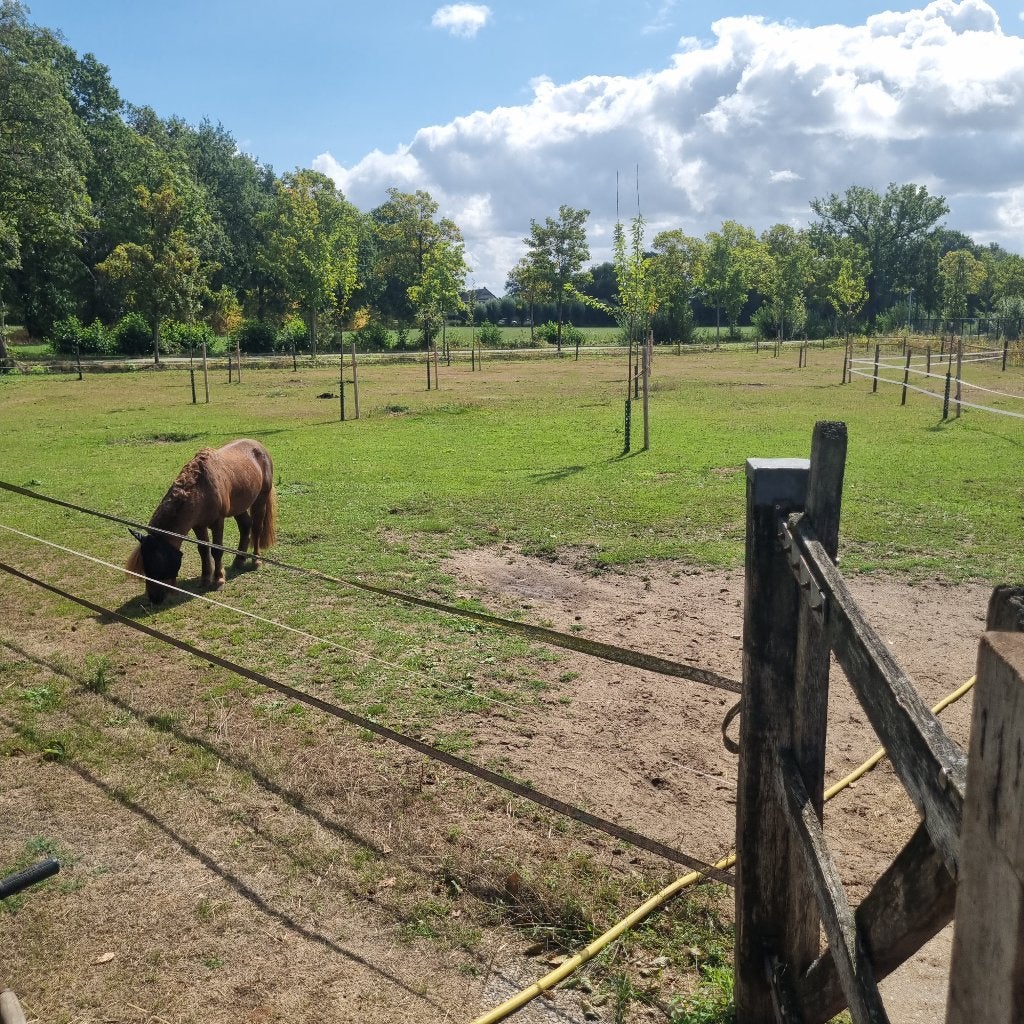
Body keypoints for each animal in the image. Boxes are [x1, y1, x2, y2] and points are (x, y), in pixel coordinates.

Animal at [126, 439, 277, 604]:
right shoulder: (198, 525)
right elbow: (203, 550)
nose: (154, 598)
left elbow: (217, 551)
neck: (201, 490)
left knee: (256, 529)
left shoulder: (218, 522)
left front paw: (218, 580)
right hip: (240, 506)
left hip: (261, 499)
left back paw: (256, 561)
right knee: (245, 526)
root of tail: (258, 446)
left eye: (157, 563)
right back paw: (239, 560)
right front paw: (205, 579)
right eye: (144, 564)